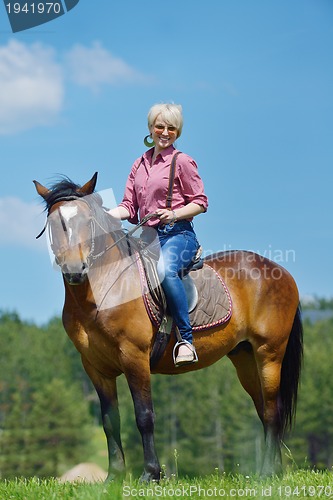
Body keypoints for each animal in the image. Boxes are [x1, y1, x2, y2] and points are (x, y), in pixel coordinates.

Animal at [33, 173, 300, 480]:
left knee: (271, 411)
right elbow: (110, 421)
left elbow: (144, 416)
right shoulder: (94, 367)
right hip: (245, 357)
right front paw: (114, 477)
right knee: (265, 409)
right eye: (54, 224)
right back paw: (273, 471)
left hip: (270, 353)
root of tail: (281, 271)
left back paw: (268, 472)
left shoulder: (134, 356)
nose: (75, 270)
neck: (100, 292)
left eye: (87, 221)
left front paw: (151, 474)